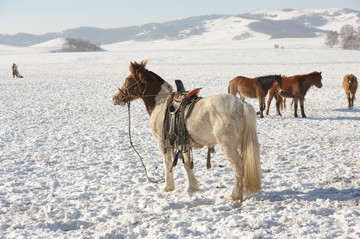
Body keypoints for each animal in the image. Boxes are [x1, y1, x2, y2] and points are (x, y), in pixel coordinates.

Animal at [113, 60, 262, 202]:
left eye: (128, 79)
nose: (115, 98)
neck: (160, 103)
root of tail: (241, 104)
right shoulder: (182, 143)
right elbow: (187, 164)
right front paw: (193, 187)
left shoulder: (163, 143)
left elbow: (168, 164)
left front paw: (168, 187)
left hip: (228, 146)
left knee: (238, 166)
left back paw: (235, 196)